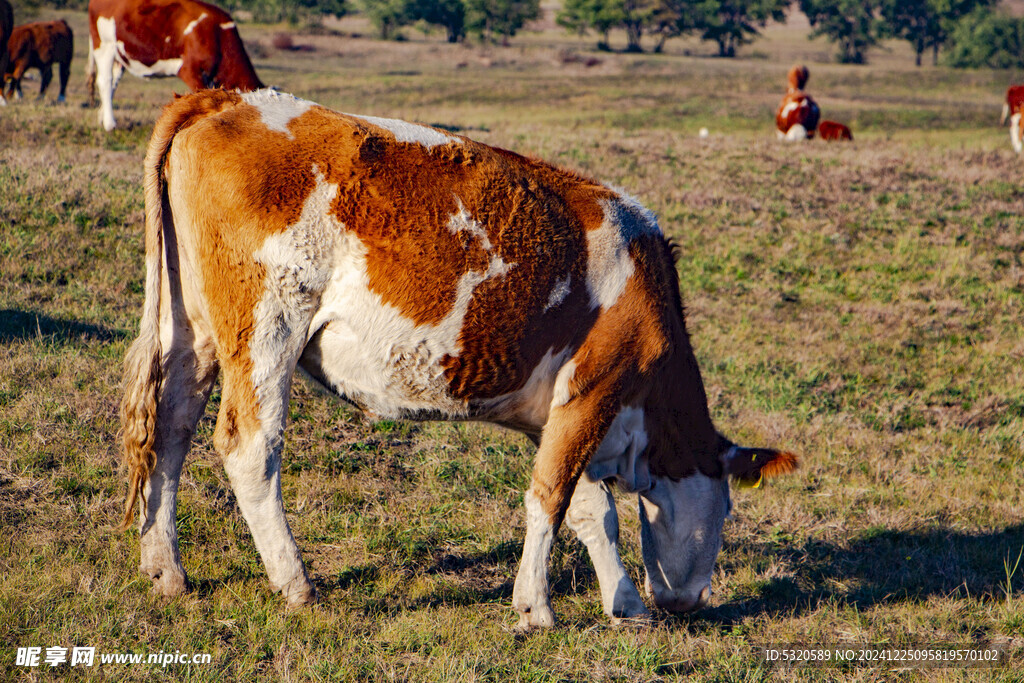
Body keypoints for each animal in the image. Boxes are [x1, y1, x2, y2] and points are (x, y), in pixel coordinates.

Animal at [85, 0, 262, 131]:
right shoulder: (190, 70)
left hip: (120, 54)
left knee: (113, 83)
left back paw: (102, 117)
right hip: (104, 45)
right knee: (105, 81)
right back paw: (110, 124)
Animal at [121, 89, 798, 630]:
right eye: (728, 509)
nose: (692, 601)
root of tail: (229, 98)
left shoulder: (556, 411)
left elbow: (589, 511)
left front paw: (625, 603)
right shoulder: (595, 386)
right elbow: (551, 498)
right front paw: (536, 610)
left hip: (193, 329)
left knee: (170, 428)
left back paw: (166, 569)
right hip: (267, 325)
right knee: (249, 446)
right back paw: (296, 583)